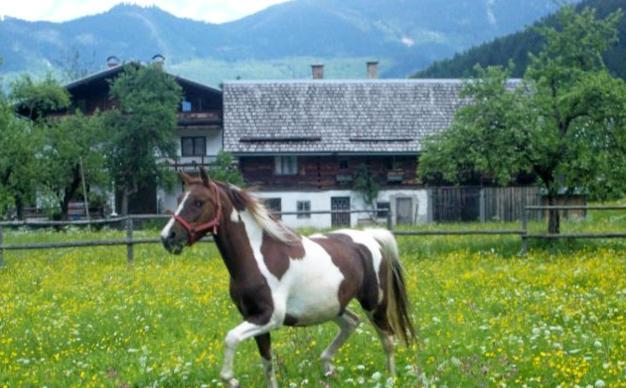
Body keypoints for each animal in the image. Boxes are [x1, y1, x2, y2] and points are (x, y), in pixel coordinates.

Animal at [161, 170, 414, 388]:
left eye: (198, 202)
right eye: (180, 198)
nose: (167, 237)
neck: (257, 257)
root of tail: (371, 238)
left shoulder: (269, 317)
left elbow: (230, 338)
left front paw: (231, 379)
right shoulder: (253, 317)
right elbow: (267, 364)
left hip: (374, 304)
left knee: (388, 340)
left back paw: (390, 379)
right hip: (334, 306)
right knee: (352, 323)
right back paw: (328, 368)